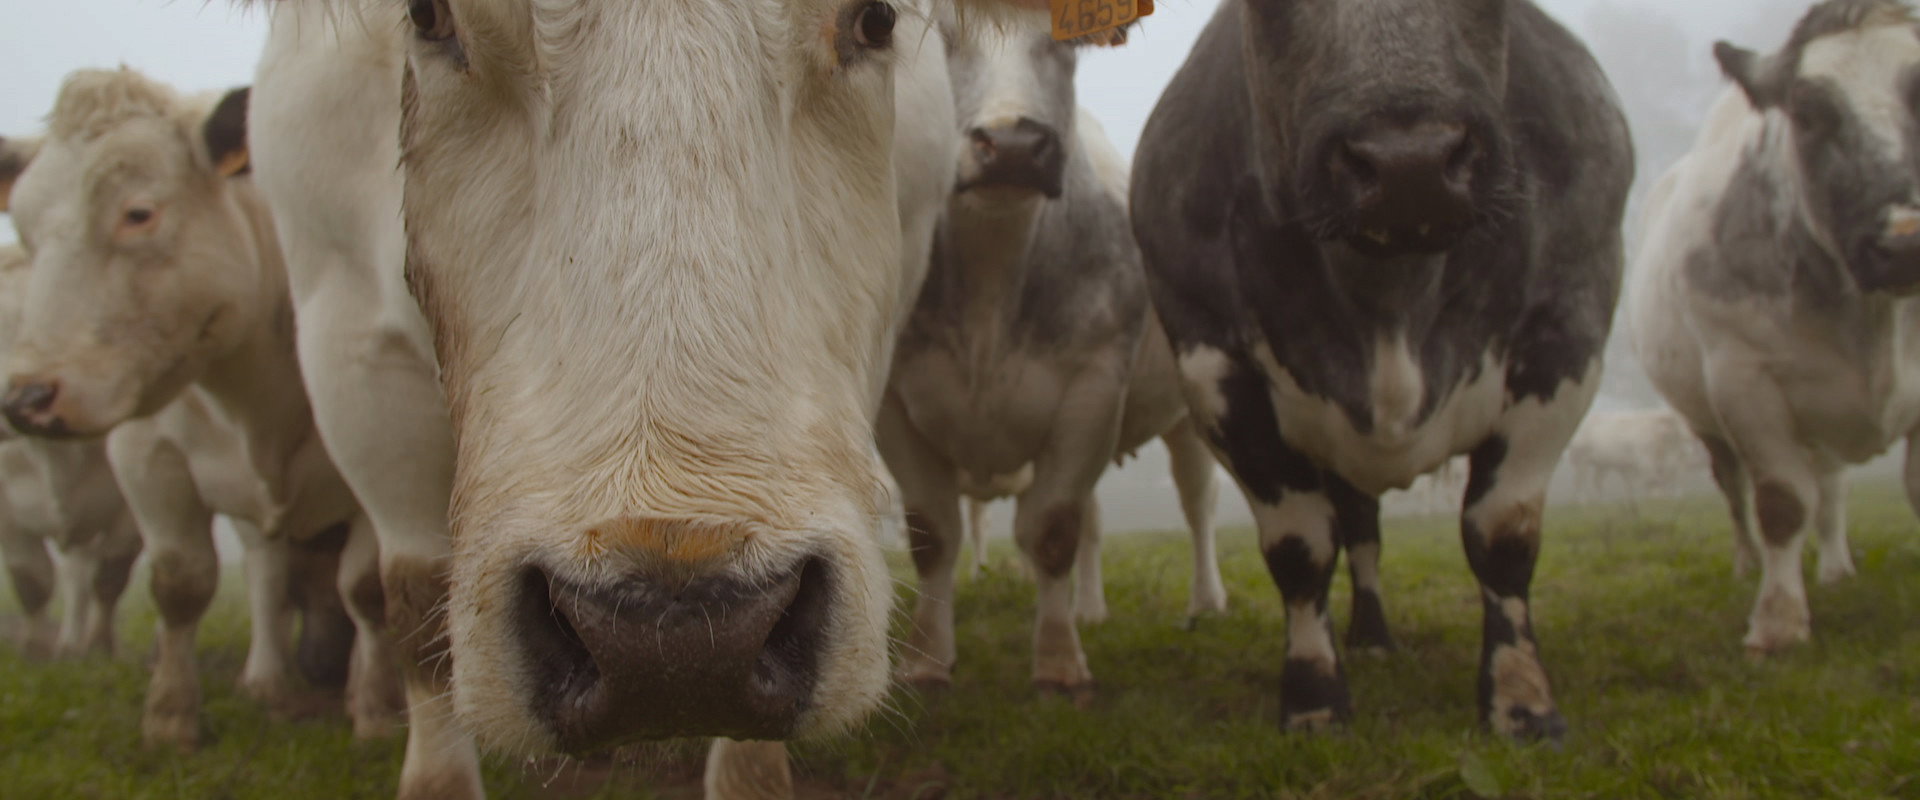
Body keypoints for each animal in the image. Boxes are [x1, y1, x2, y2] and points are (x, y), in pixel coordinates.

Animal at [0, 68, 401, 748]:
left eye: (137, 213)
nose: (27, 398)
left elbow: (366, 590)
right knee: (265, 571)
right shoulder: (145, 457)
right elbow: (180, 582)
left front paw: (376, 711)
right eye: (24, 231)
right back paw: (265, 676)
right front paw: (170, 715)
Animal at [880, 19, 1225, 696]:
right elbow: (933, 533)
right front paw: (926, 660)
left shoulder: (1091, 393)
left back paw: (1203, 602)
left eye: (1065, 42)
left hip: (1187, 415)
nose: (1013, 143)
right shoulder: (894, 407)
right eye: (942, 34)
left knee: (1197, 503)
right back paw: (1090, 608)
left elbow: (1051, 530)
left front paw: (1060, 663)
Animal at [1132, 0, 1634, 739]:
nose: (1410, 165)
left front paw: (1523, 701)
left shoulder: (1567, 332)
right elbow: (1302, 546)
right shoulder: (1214, 365)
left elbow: (1502, 534)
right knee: (1359, 526)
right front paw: (1315, 698)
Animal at [1563, 408, 1701, 506]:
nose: (1692, 435)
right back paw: (1582, 500)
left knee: (1597, 480)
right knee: (1579, 480)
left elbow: (1659, 478)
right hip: (1581, 460)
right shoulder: (1645, 459)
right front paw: (1655, 497)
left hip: (1603, 464)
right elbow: (1651, 478)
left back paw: (1602, 501)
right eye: (1678, 421)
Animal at [1630, 0, 1920, 653]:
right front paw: (1779, 619)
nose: (1903, 242)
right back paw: (1749, 563)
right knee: (1739, 492)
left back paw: (1836, 566)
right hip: (1708, 422)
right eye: (1808, 114)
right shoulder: (1744, 380)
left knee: (1832, 489)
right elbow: (1781, 502)